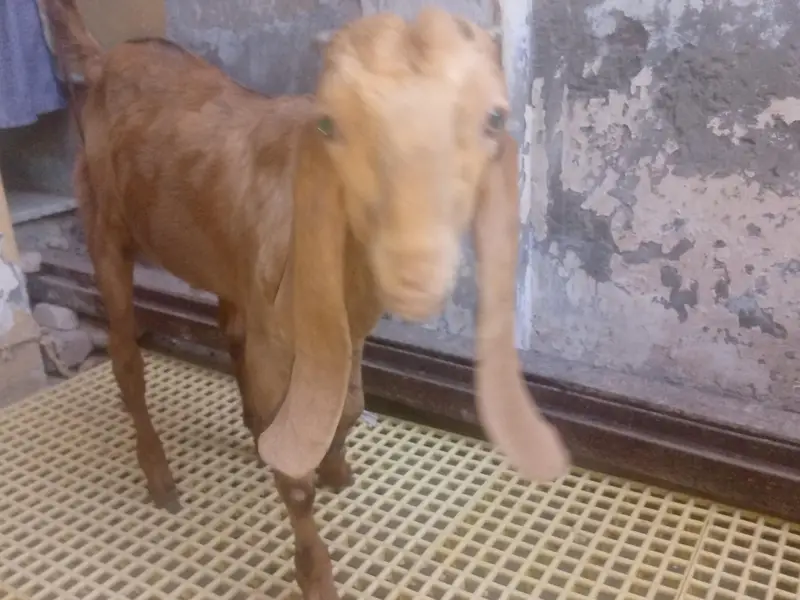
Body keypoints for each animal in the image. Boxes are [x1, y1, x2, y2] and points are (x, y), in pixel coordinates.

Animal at [43, 1, 570, 597]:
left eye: (492, 119)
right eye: (337, 124)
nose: (416, 265)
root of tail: (107, 60)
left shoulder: (351, 325)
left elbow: (352, 404)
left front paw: (335, 467)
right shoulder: (281, 337)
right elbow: (298, 474)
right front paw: (314, 571)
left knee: (229, 330)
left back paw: (254, 431)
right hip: (104, 229)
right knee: (126, 357)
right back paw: (159, 475)